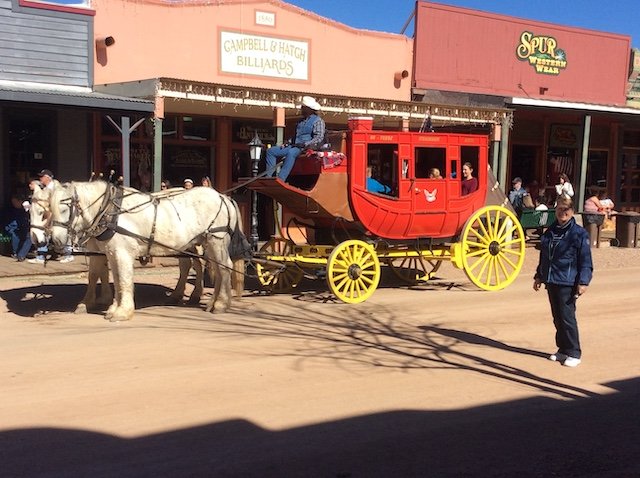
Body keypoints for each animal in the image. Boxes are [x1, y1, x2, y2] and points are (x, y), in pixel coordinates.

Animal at [44, 181, 245, 324]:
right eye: (50, 209)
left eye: (64, 208)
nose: (56, 241)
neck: (111, 212)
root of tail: (223, 197)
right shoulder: (112, 253)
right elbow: (116, 279)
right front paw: (113, 308)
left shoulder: (122, 253)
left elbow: (124, 280)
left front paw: (122, 312)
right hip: (205, 242)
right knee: (213, 268)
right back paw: (209, 302)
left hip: (216, 239)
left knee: (224, 268)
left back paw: (220, 304)